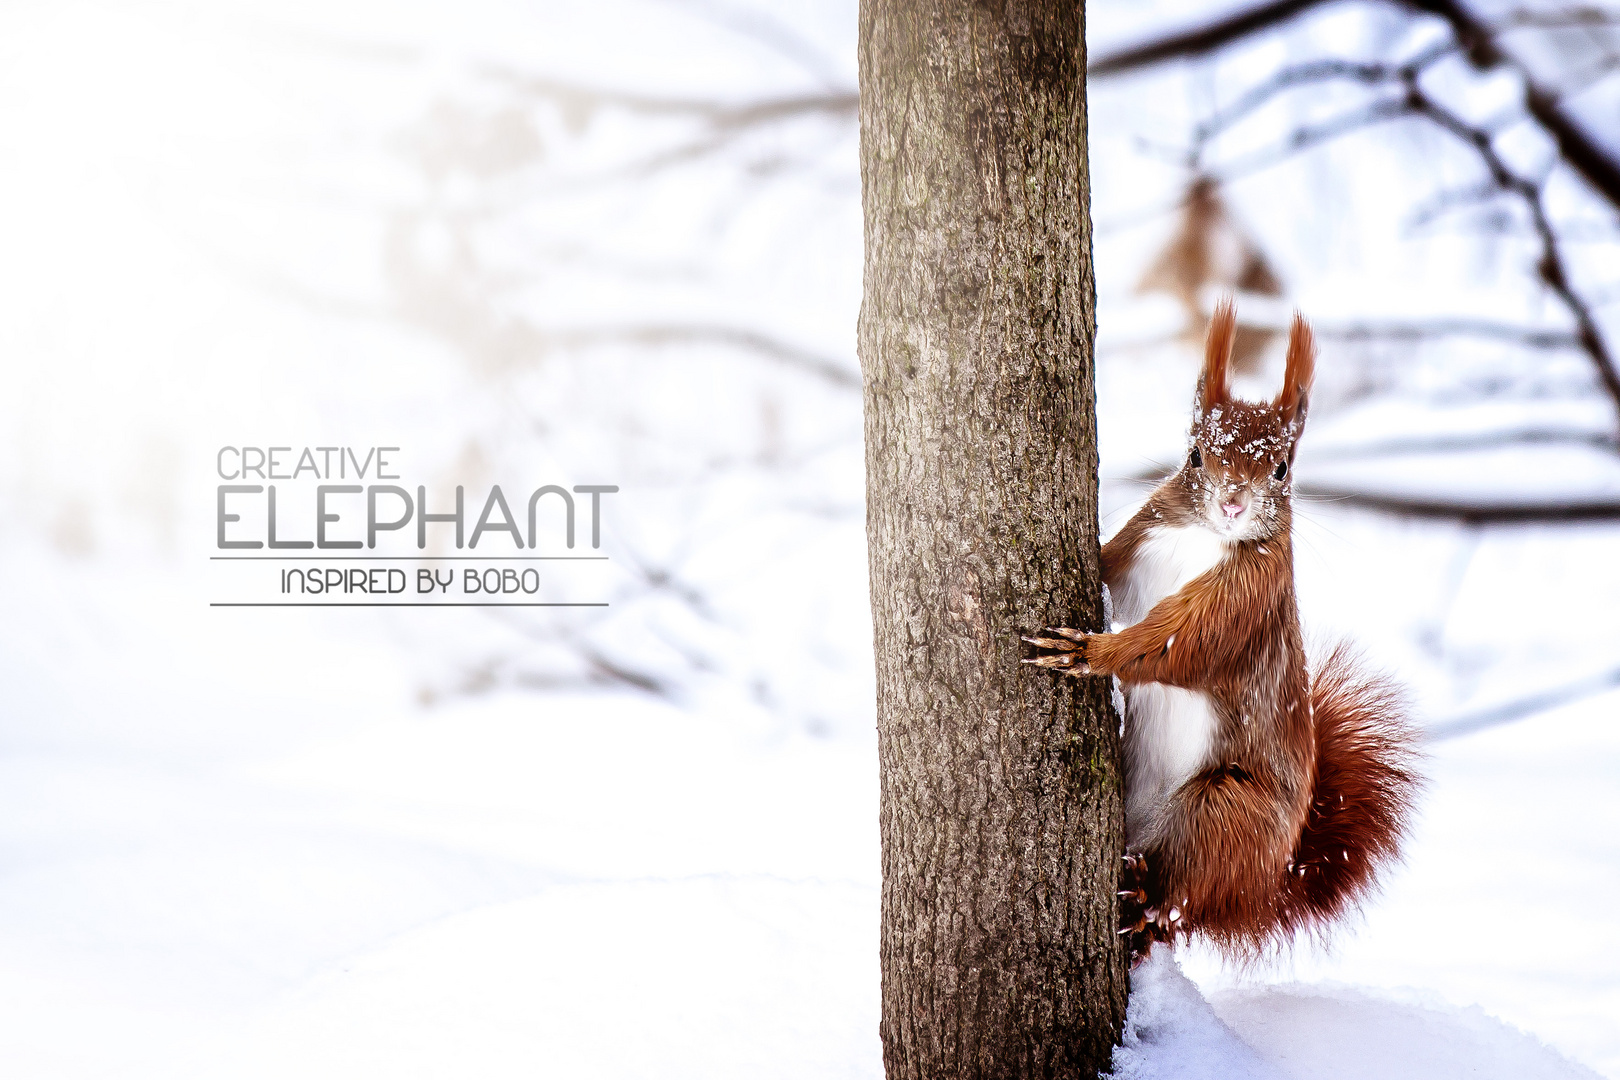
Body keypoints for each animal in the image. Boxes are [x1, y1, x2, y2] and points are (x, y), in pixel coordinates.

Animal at [1023, 297, 1419, 965]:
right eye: (1196, 456)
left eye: (1282, 468)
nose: (1233, 503)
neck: (1205, 538)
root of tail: (1268, 885)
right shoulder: (1140, 548)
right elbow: (1110, 571)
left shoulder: (1244, 605)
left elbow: (1175, 645)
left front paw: (1093, 651)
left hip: (1228, 813)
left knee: (1183, 896)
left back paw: (1145, 901)